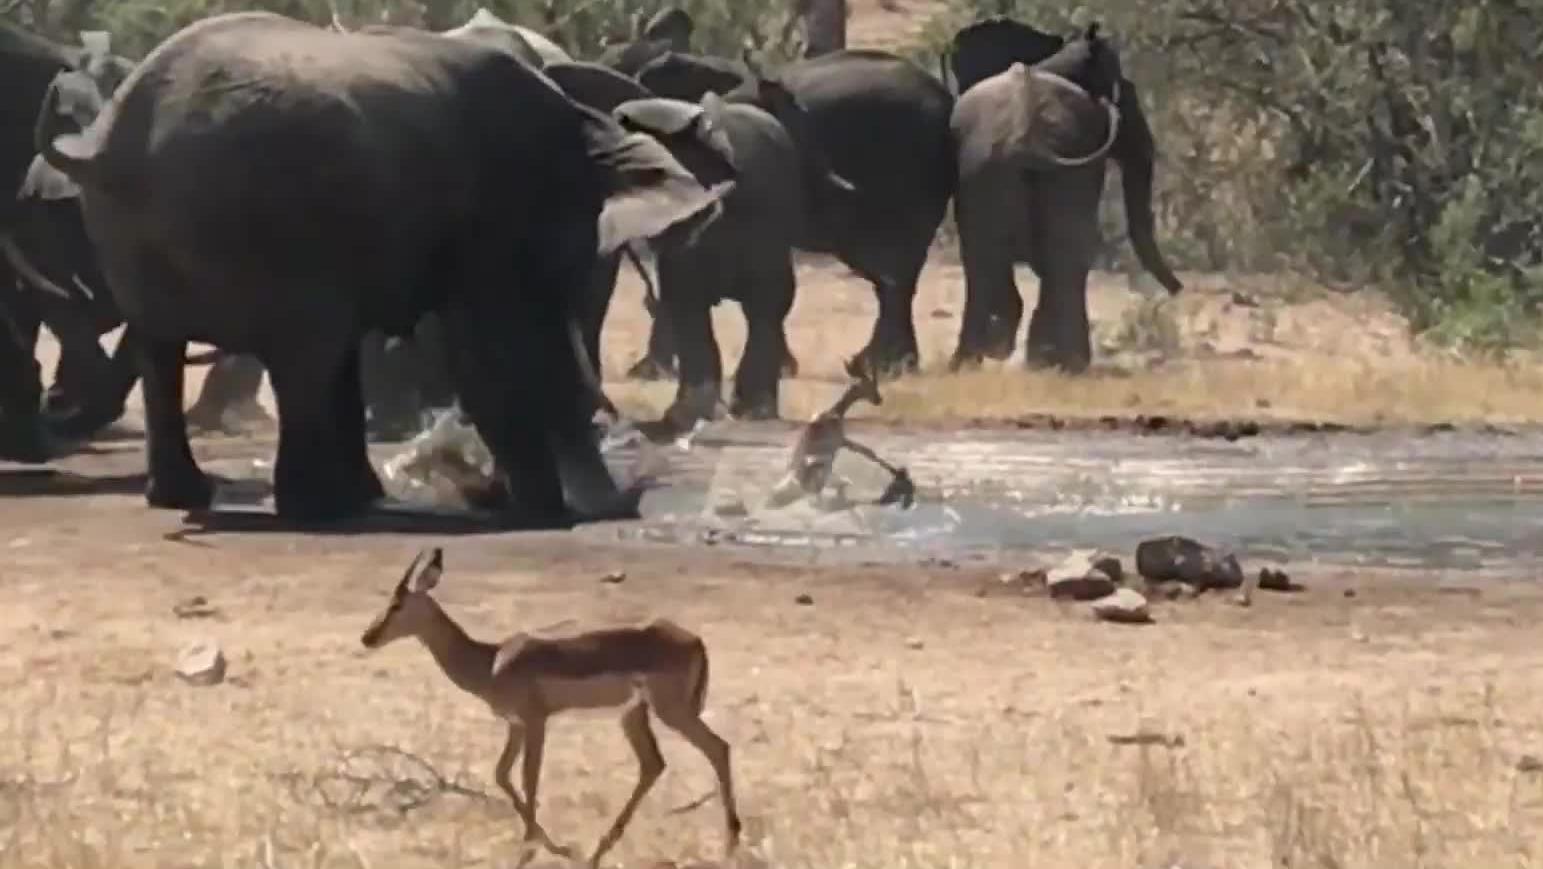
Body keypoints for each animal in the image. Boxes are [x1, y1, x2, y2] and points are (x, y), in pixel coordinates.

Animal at [36, 13, 734, 527]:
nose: (628, 502)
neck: (583, 127)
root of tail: (109, 147)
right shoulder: (497, 209)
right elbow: (495, 347)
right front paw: (542, 507)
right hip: (268, 215)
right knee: (303, 352)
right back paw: (316, 509)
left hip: (132, 230)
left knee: (164, 349)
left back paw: (187, 498)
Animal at [944, 23, 1185, 370]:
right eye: (1127, 95)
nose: (1178, 291)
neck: (1055, 61)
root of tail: (1025, 136)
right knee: (1066, 255)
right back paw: (1066, 363)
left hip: (985, 172)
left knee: (983, 257)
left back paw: (975, 360)